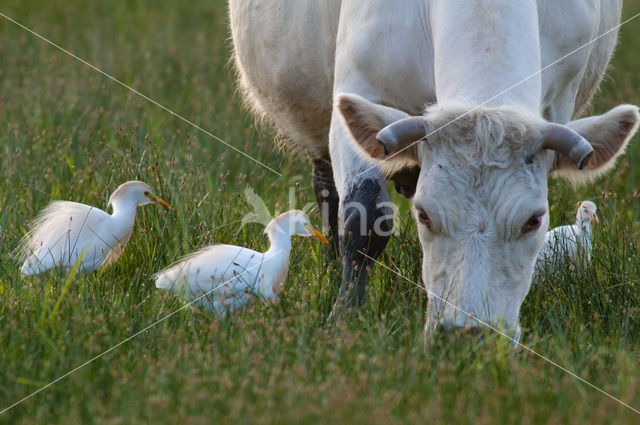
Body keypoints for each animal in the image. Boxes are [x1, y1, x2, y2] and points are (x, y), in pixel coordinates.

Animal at [229, 0, 636, 338]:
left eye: (535, 220)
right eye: (423, 215)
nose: (468, 333)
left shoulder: (560, 102)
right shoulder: (355, 94)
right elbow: (365, 218)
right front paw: (343, 319)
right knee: (328, 195)